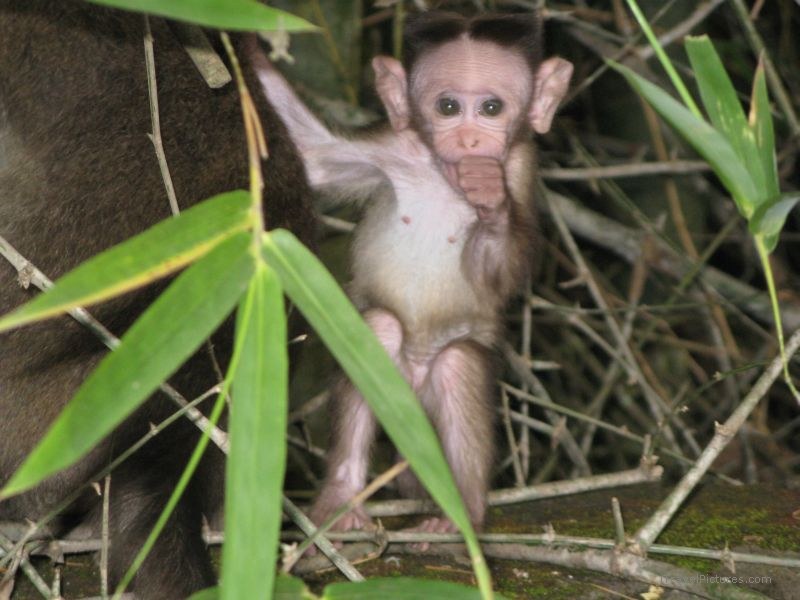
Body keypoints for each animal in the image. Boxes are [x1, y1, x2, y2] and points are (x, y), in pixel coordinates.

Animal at [247, 10, 573, 543]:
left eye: (491, 107)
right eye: (447, 106)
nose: (469, 140)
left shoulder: (521, 167)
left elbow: (502, 271)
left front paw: (490, 200)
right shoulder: (394, 146)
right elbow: (314, 158)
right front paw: (239, 43)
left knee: (459, 364)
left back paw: (460, 514)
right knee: (379, 329)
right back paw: (343, 500)